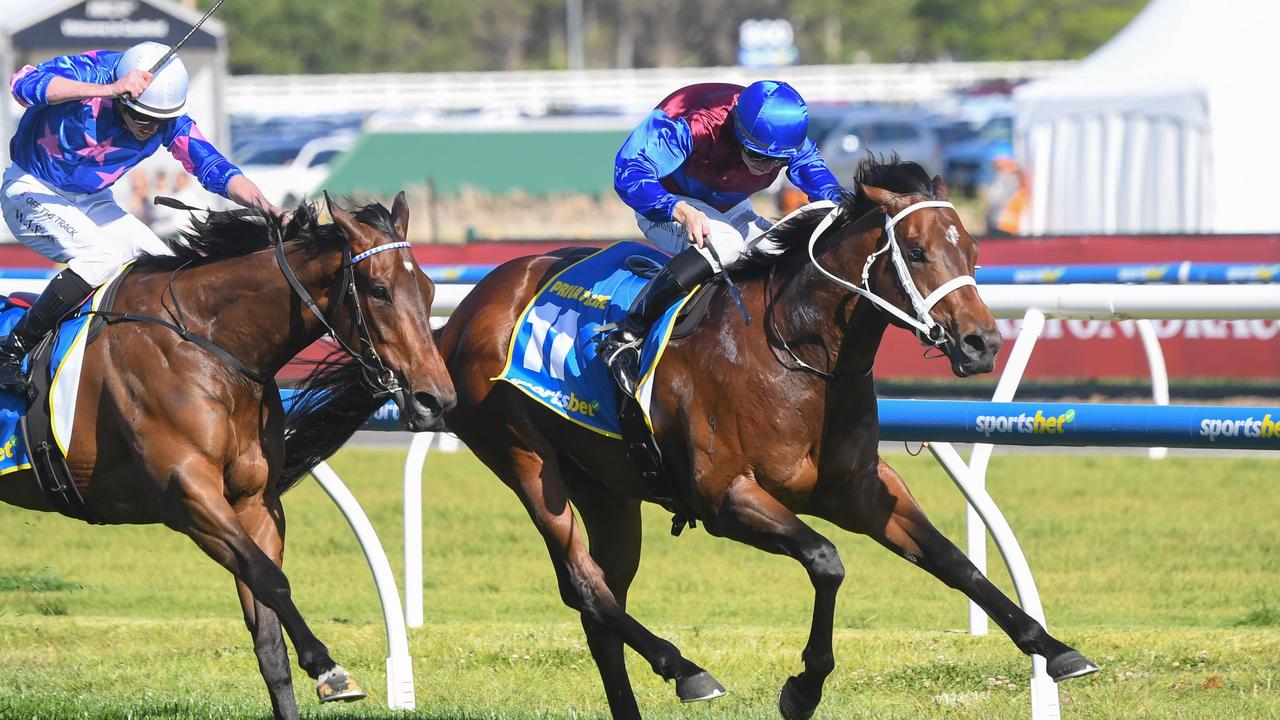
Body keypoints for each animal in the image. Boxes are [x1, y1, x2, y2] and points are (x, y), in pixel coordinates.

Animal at [0, 190, 455, 717]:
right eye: (379, 290)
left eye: (428, 290)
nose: (435, 400)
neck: (210, 346)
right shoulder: (189, 496)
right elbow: (271, 580)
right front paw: (329, 669)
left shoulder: (253, 501)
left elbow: (268, 636)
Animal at [435, 158, 1095, 717]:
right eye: (915, 250)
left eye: (973, 250)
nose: (982, 343)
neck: (796, 355)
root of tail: (462, 314)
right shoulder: (725, 498)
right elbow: (827, 561)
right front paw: (803, 687)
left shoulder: (863, 490)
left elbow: (954, 561)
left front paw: (1054, 647)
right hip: (524, 458)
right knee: (585, 585)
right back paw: (686, 670)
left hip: (606, 488)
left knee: (602, 602)